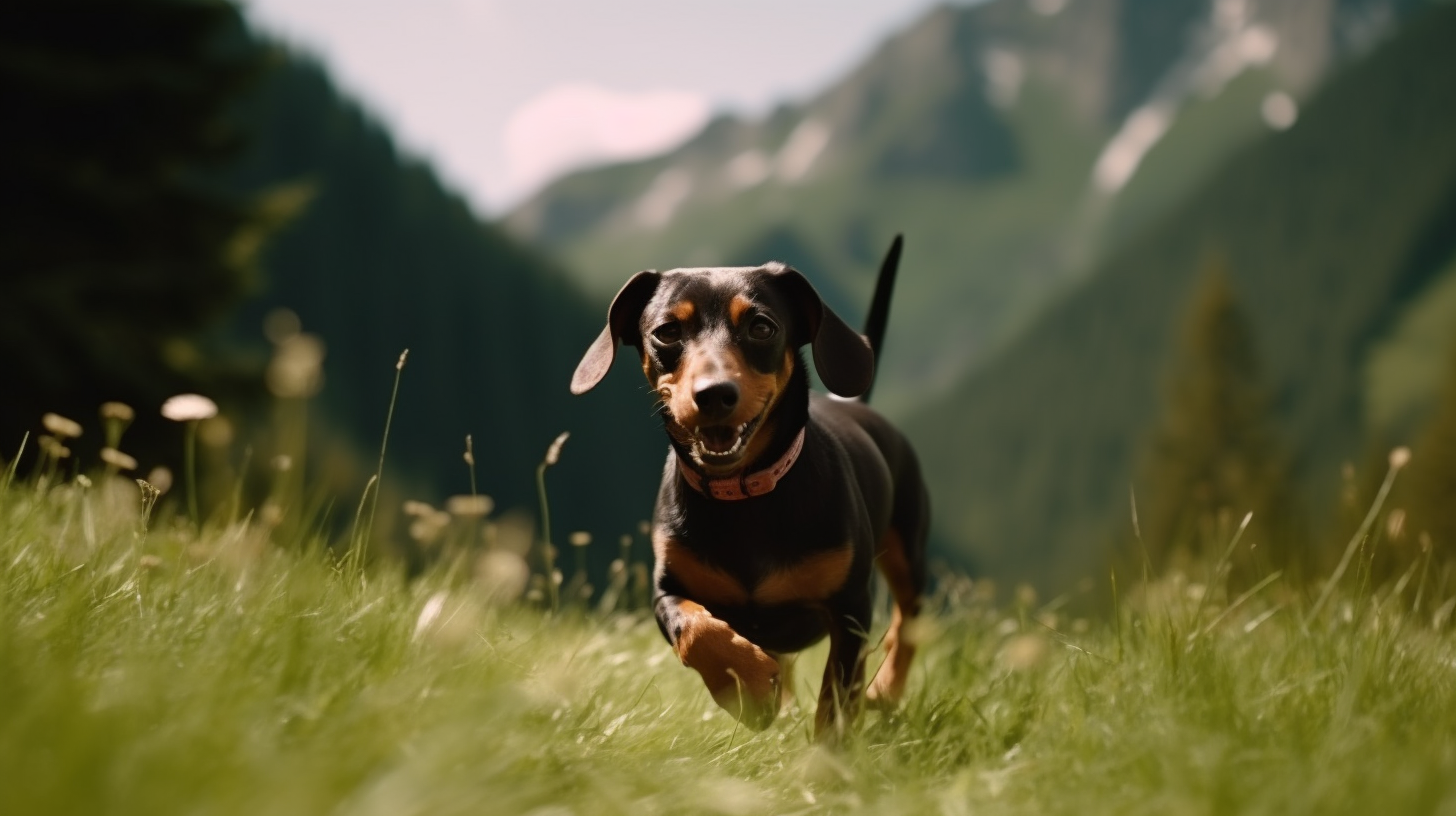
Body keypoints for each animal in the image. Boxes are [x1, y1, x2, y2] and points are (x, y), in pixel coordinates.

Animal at [570, 236, 931, 740]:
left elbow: (836, 701)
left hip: (907, 549)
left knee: (908, 621)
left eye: (761, 326)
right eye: (667, 331)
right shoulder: (667, 590)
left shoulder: (851, 609)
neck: (743, 498)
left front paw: (824, 756)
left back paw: (885, 689)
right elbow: (697, 632)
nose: (714, 394)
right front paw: (751, 689)